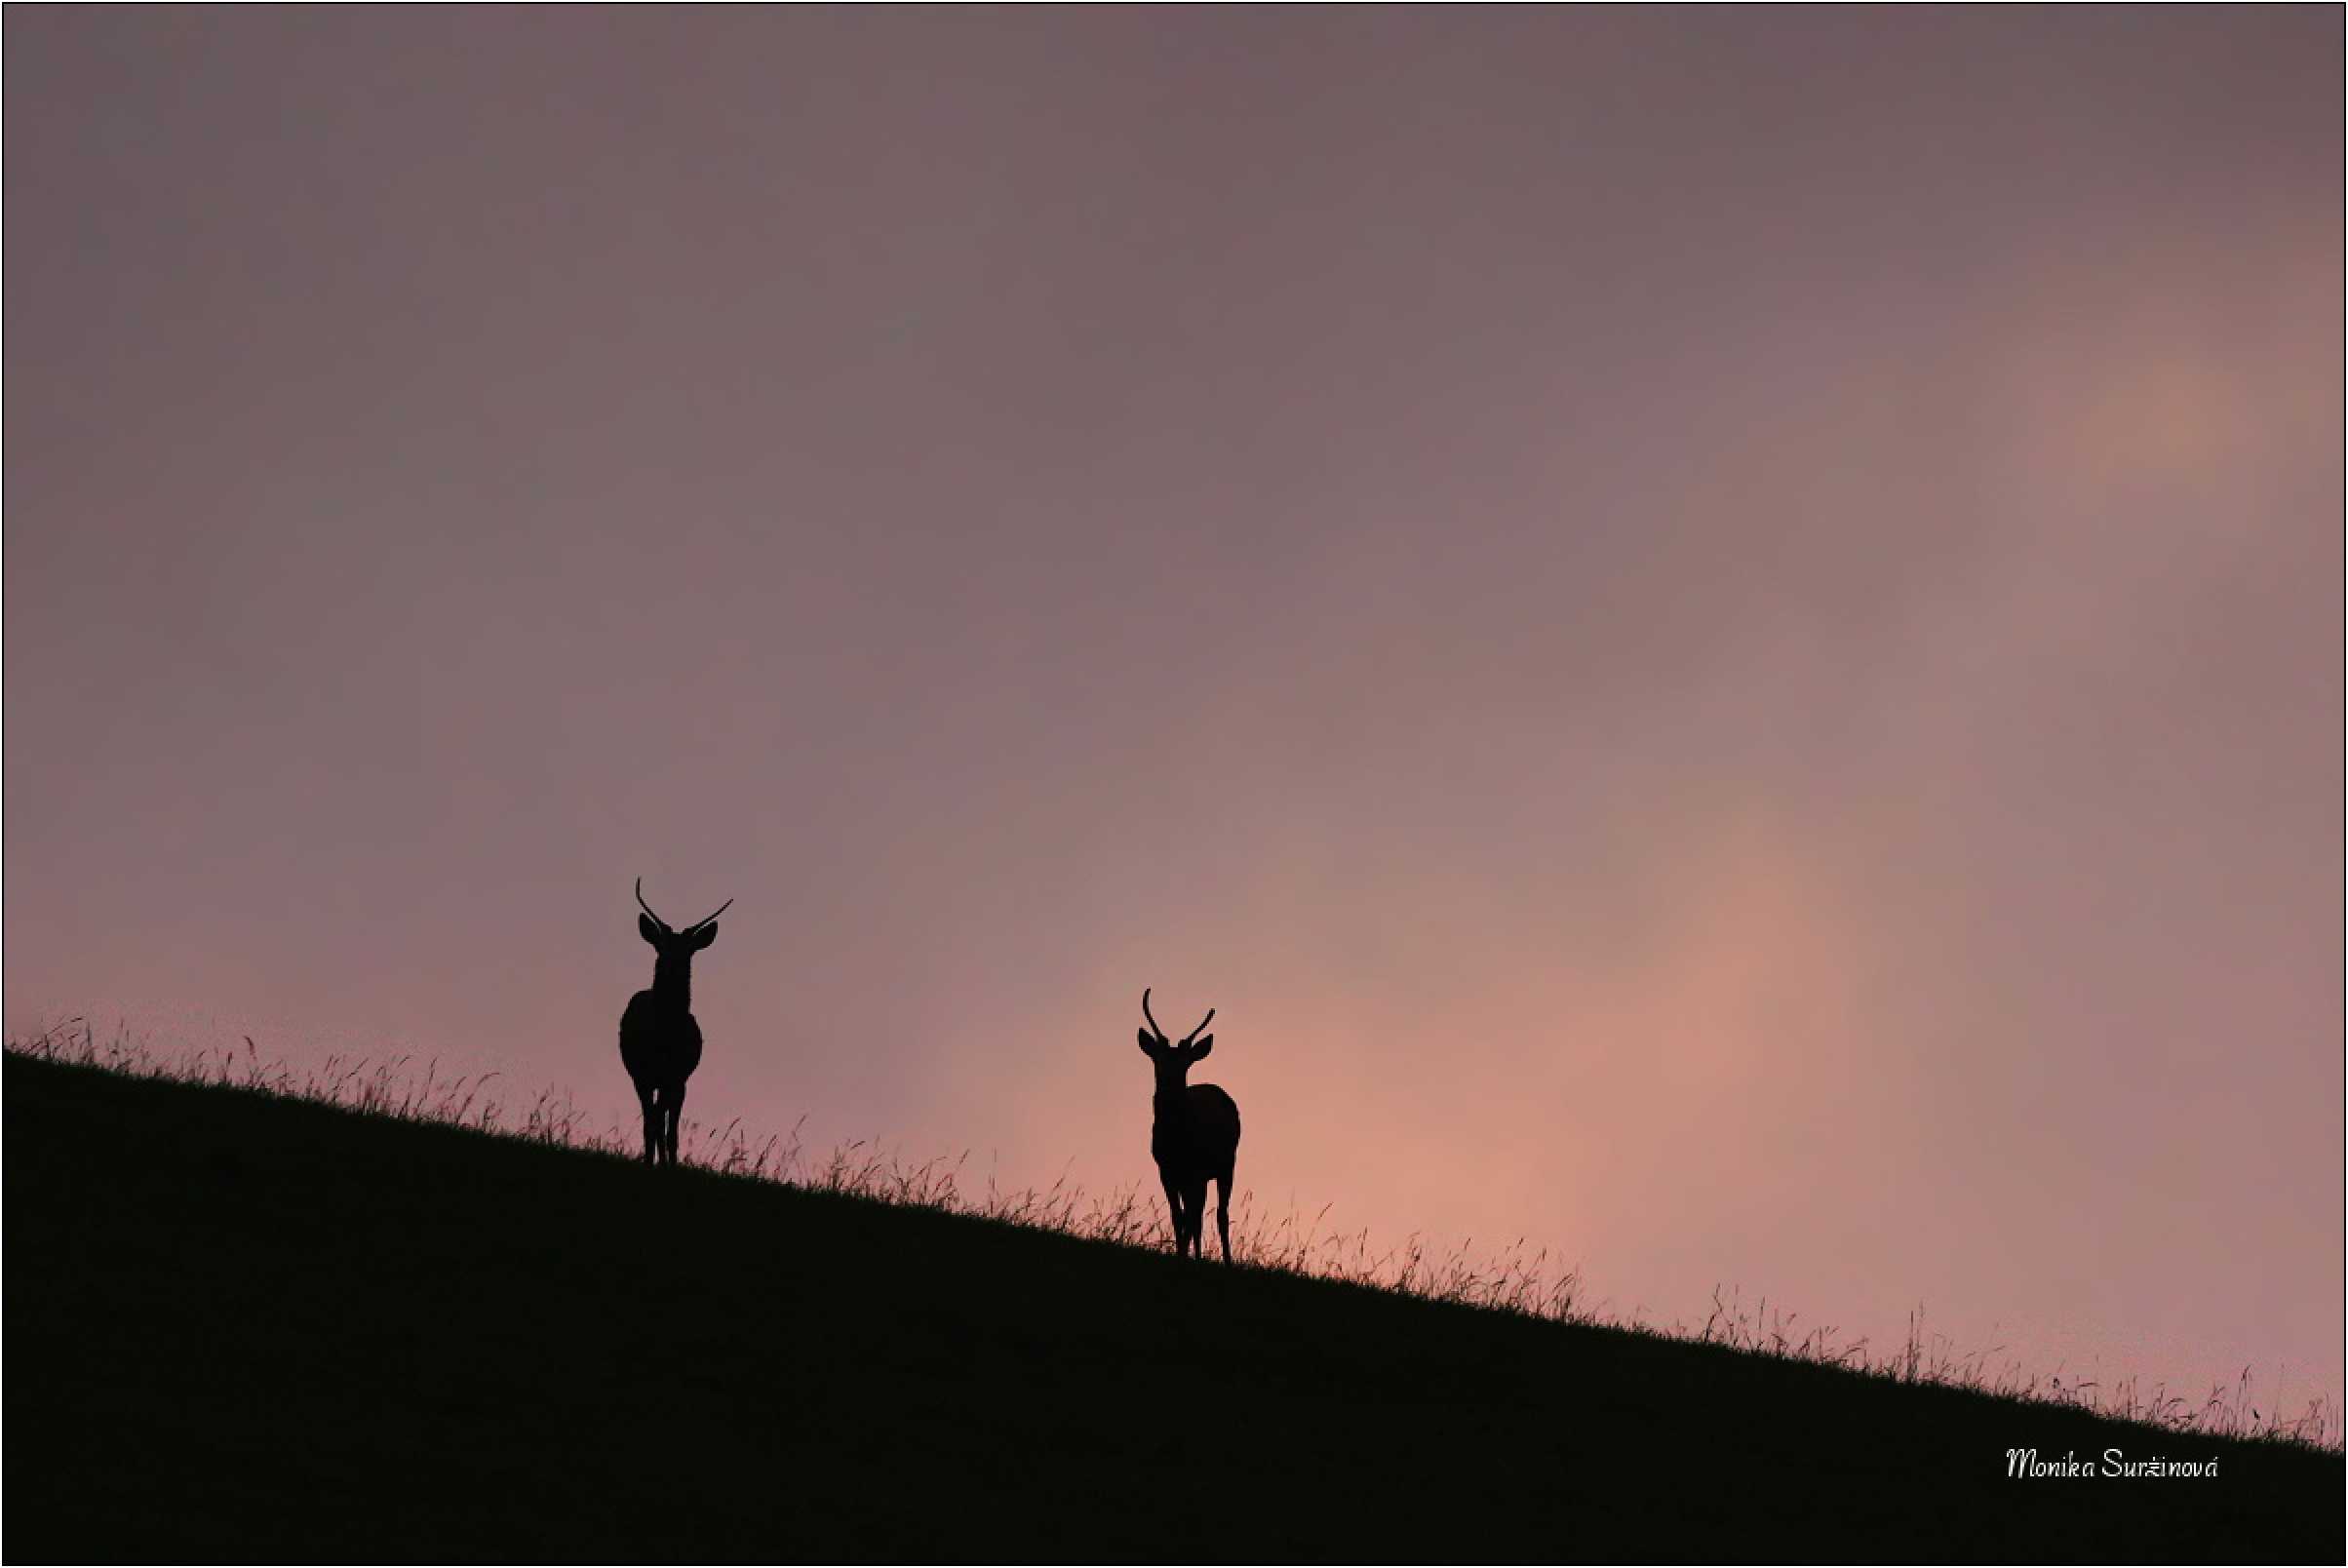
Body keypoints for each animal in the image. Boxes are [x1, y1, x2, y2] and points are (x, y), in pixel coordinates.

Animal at [619, 882, 727, 1163]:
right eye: (660, 945)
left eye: (689, 950)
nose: (671, 964)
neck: (663, 1035)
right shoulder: (642, 1074)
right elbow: (652, 1123)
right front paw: (649, 1162)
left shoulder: (677, 1076)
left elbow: (669, 1128)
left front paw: (668, 1164)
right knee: (656, 1119)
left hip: (679, 1082)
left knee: (668, 1121)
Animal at [1141, 990, 1249, 1258]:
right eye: (1157, 1059)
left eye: (1185, 1063)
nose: (1169, 1084)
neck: (1177, 1137)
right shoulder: (1166, 1169)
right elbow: (1178, 1216)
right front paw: (1181, 1254)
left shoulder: (1195, 1170)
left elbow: (1192, 1217)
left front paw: (1190, 1255)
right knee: (1197, 1214)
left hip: (1227, 1164)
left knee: (1220, 1214)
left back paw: (1226, 1260)